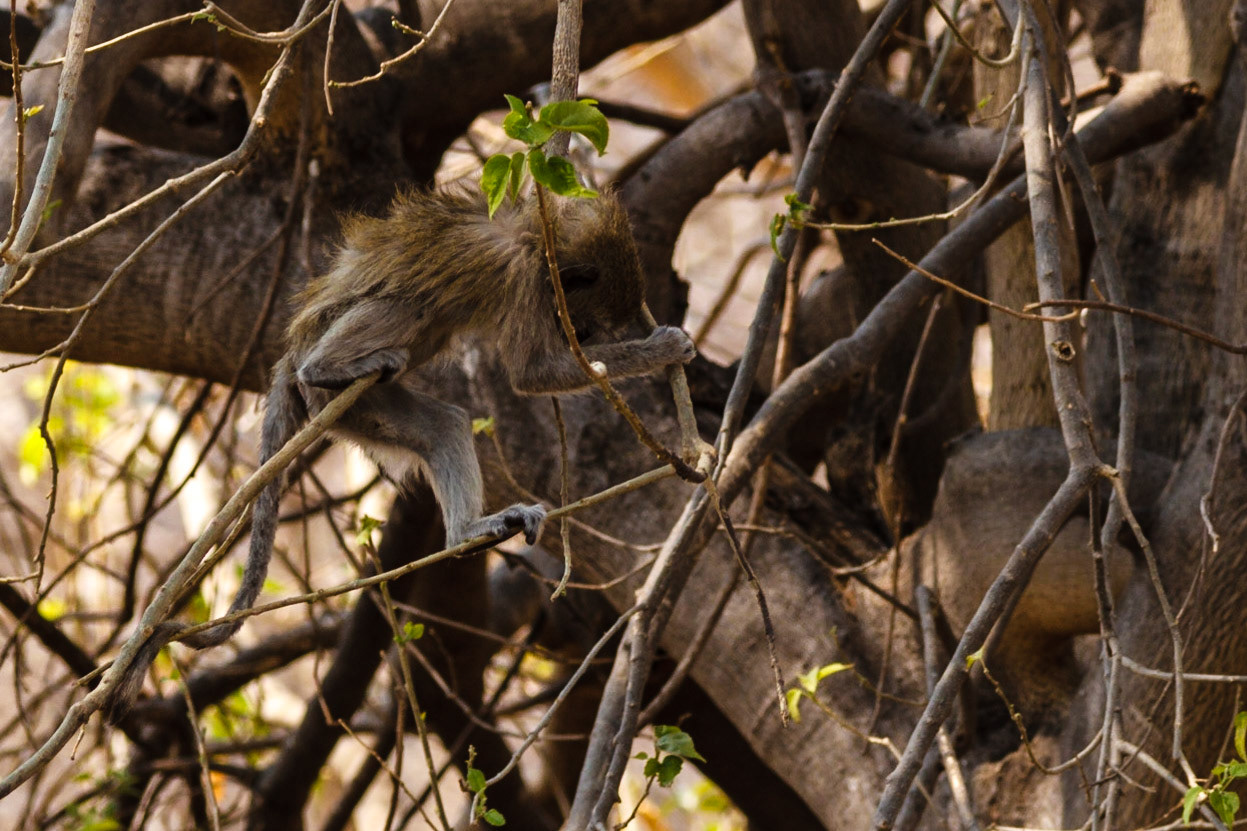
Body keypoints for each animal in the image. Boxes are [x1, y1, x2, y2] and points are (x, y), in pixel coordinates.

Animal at [103, 186, 696, 720]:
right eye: (584, 325)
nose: (586, 337)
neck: (536, 239)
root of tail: (293, 352)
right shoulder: (521, 278)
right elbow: (535, 374)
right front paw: (662, 349)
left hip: (355, 412)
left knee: (445, 425)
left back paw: (466, 532)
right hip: (332, 384)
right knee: (405, 303)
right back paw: (326, 366)